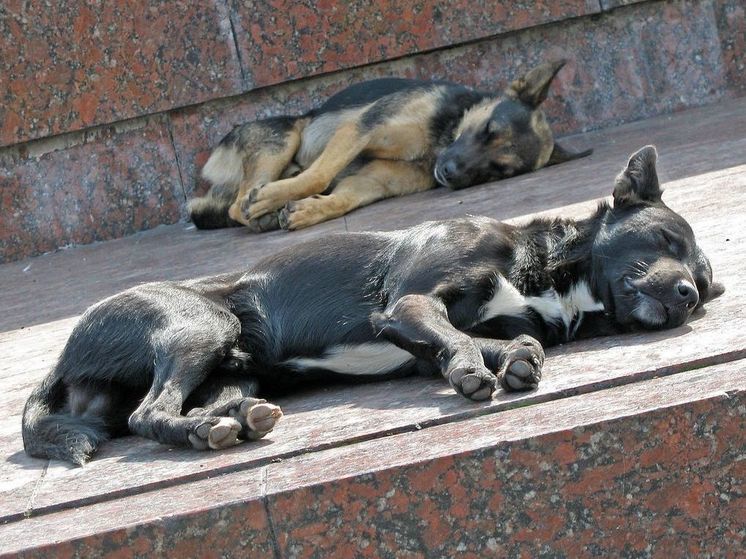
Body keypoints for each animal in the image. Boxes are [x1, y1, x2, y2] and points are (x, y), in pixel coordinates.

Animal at [23, 147, 720, 466]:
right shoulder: (409, 303)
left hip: (234, 370)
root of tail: (62, 357)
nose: (689, 295)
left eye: (702, 276)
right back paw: (207, 431)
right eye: (666, 241)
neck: (542, 269)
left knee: (175, 410)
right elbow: (456, 338)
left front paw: (515, 356)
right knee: (147, 415)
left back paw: (229, 423)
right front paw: (479, 370)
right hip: (202, 325)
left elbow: (496, 340)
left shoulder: (423, 337)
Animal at [189, 61, 588, 234]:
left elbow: (341, 198)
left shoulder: (374, 180)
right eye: (488, 130)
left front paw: (309, 211)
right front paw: (278, 198)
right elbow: (321, 175)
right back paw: (263, 203)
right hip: (284, 139)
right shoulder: (361, 130)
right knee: (238, 205)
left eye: (499, 170)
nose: (448, 173)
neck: (438, 141)